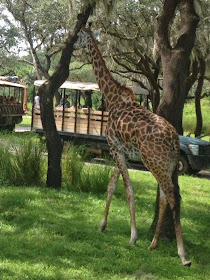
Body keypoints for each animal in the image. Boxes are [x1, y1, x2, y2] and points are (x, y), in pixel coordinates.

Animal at [73, 26, 191, 266]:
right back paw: (153, 244)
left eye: (79, 34)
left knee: (172, 196)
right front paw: (102, 225)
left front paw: (133, 236)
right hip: (167, 164)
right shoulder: (121, 151)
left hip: (154, 161)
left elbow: (128, 190)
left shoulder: (115, 148)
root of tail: (175, 141)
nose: (70, 45)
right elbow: (111, 186)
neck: (112, 98)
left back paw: (182, 254)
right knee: (164, 197)